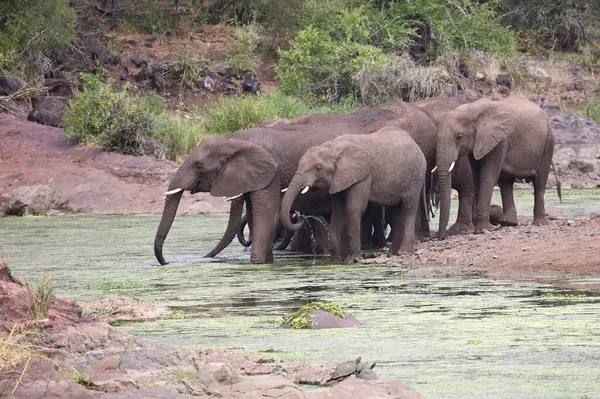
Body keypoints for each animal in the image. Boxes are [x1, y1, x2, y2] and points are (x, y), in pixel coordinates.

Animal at [155, 122, 366, 266]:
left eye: (199, 165)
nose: (167, 262)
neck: (234, 142)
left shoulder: (270, 174)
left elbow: (264, 215)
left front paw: (257, 263)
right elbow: (255, 218)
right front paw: (266, 262)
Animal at [282, 126, 426, 264]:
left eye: (318, 168)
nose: (300, 216)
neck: (333, 147)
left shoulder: (363, 175)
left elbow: (353, 209)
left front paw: (353, 260)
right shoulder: (339, 179)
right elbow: (338, 212)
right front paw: (336, 260)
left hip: (416, 174)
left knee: (408, 209)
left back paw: (404, 252)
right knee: (395, 212)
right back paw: (392, 254)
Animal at [434, 96, 556, 241]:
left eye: (459, 136)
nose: (441, 237)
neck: (471, 110)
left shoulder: (500, 141)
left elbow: (488, 177)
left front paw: (483, 230)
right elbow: (477, 178)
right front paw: (483, 229)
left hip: (548, 143)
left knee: (540, 182)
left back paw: (539, 223)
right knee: (506, 183)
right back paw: (508, 223)